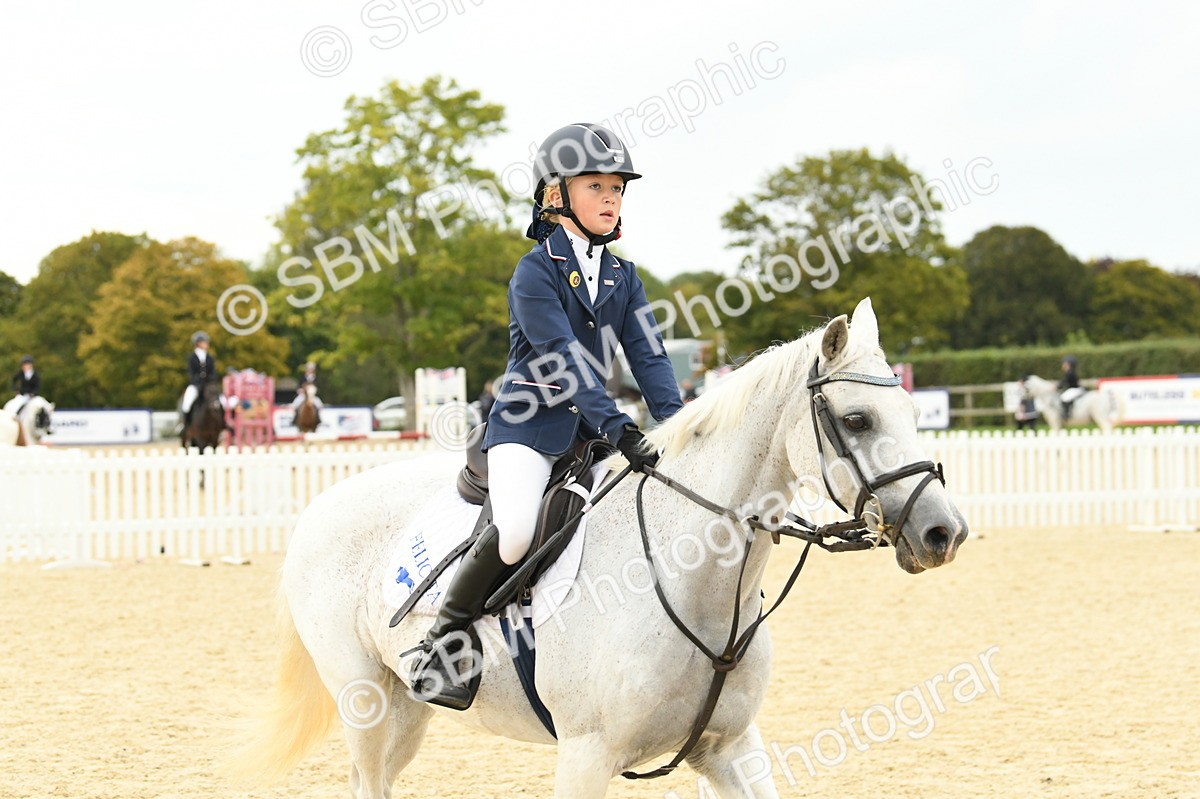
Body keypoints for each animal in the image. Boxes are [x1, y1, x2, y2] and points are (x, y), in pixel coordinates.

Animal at [231, 298, 969, 798]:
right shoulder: (586, 756)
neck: (694, 582)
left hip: (407, 709)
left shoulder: (730, 747)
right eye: (856, 419)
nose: (944, 532)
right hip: (366, 702)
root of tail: (320, 506)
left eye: (913, 412)